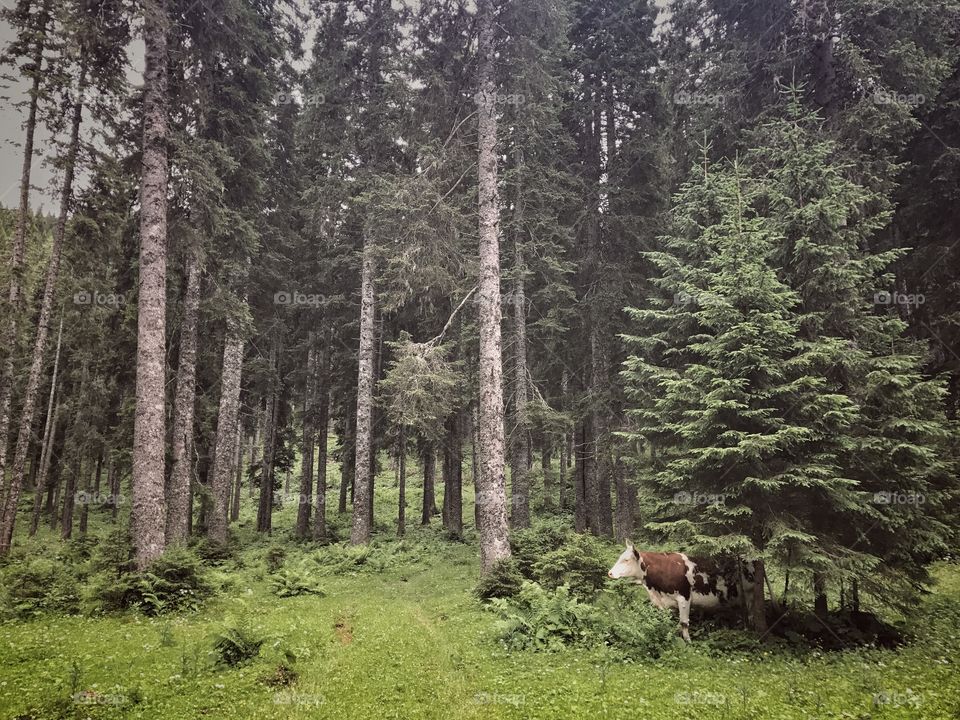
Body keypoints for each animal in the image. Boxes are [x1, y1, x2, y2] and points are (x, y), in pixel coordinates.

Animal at [608, 540, 755, 642]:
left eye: (626, 560)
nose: (610, 573)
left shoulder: (684, 597)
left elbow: (684, 622)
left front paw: (688, 642)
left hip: (750, 594)